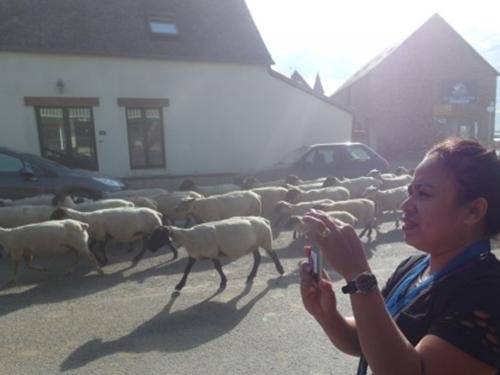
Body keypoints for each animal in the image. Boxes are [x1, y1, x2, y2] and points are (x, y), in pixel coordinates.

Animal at [146, 216, 286, 292]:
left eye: (158, 236)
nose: (150, 249)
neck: (189, 238)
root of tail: (263, 219)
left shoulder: (212, 252)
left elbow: (217, 267)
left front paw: (223, 282)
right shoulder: (194, 255)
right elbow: (186, 270)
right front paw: (179, 285)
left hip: (265, 240)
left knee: (273, 254)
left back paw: (280, 270)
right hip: (253, 244)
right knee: (257, 258)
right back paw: (251, 275)